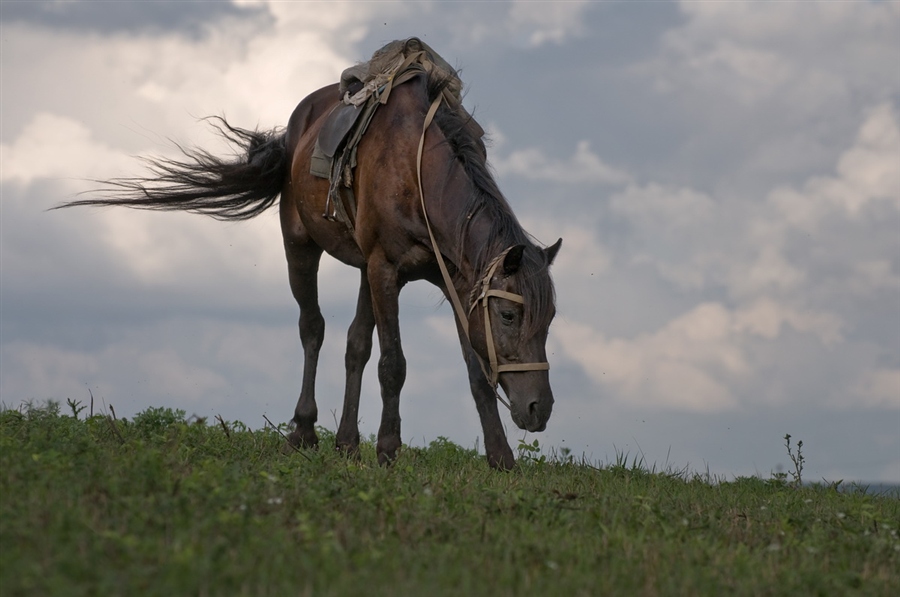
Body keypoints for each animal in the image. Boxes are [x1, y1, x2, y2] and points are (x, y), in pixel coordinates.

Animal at [59, 38, 560, 470]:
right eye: (510, 316)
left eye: (550, 318)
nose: (540, 408)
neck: (419, 172)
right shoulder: (386, 269)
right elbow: (393, 364)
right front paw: (388, 450)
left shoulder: (452, 279)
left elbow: (474, 369)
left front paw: (500, 457)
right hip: (301, 247)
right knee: (312, 329)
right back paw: (303, 431)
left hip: (362, 269)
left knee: (355, 345)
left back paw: (346, 442)